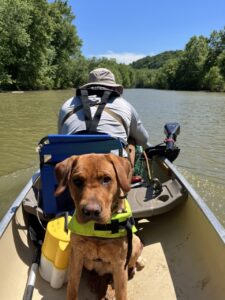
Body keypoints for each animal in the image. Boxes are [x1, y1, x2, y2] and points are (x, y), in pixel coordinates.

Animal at [54, 154, 144, 298]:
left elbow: (122, 293)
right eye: (77, 181)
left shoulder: (119, 263)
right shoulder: (76, 255)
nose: (91, 211)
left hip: (135, 242)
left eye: (106, 179)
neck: (97, 229)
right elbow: (72, 288)